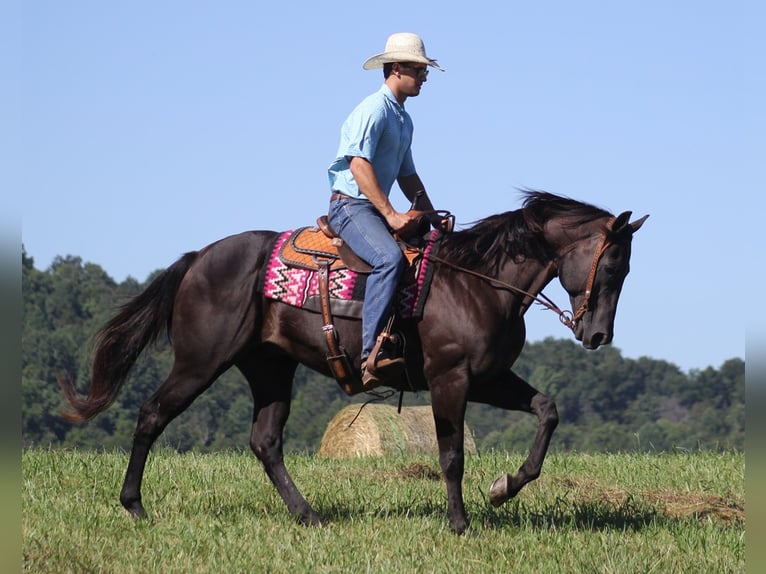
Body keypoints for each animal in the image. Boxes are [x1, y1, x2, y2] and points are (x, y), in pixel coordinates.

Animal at [58, 192, 648, 536]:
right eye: (612, 265)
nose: (598, 335)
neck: (478, 281)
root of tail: (199, 258)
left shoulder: (489, 378)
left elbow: (547, 411)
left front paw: (505, 487)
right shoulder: (450, 379)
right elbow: (451, 455)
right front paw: (460, 524)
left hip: (271, 369)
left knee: (265, 442)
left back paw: (309, 516)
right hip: (201, 362)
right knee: (153, 414)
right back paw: (135, 506)